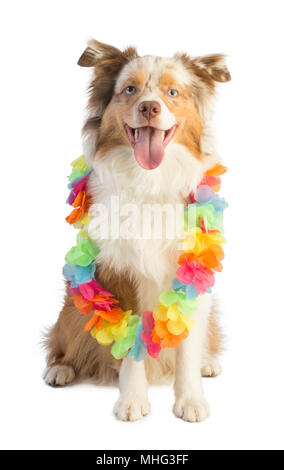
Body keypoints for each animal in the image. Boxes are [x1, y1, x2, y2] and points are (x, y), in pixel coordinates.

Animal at [44, 39, 231, 422]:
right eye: (130, 90)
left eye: (173, 92)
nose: (148, 107)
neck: (150, 182)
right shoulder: (119, 272)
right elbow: (128, 343)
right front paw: (131, 400)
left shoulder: (193, 274)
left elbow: (187, 344)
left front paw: (190, 399)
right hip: (73, 302)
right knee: (59, 342)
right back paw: (61, 368)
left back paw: (208, 363)